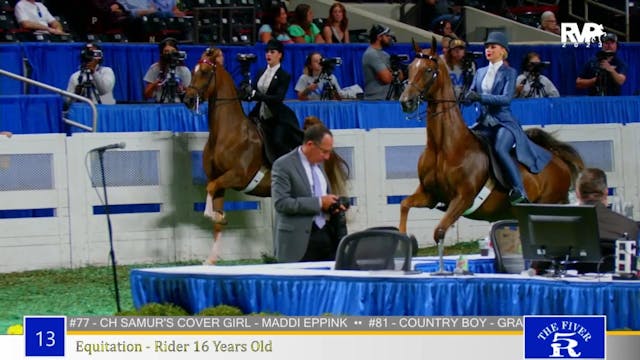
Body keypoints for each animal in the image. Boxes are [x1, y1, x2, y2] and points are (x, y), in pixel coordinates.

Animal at [182, 47, 348, 262]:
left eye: (204, 72)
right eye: (193, 71)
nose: (187, 99)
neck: (227, 133)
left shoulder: (238, 176)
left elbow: (210, 189)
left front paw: (211, 214)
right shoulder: (218, 180)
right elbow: (215, 214)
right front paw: (211, 258)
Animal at [400, 38, 584, 243]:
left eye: (428, 70)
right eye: (410, 68)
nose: (405, 102)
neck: (444, 147)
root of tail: (557, 159)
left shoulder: (463, 198)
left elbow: (438, 232)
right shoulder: (429, 194)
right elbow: (404, 205)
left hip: (546, 206)